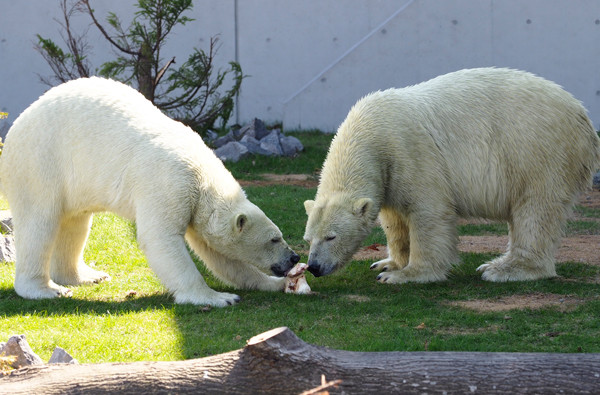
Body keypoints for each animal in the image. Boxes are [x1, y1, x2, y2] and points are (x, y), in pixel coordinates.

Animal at [0, 76, 300, 306]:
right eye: (274, 239)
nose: (293, 257)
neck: (201, 175)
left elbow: (221, 256)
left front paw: (273, 284)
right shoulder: (168, 183)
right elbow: (160, 238)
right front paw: (216, 297)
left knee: (76, 223)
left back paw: (86, 275)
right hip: (41, 164)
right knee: (40, 223)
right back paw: (47, 289)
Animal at [304, 69, 600, 284]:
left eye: (331, 237)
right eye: (308, 238)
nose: (313, 267)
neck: (369, 134)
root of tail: (582, 114)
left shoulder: (410, 153)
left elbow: (428, 212)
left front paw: (406, 274)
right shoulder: (388, 176)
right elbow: (395, 220)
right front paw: (387, 263)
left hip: (537, 151)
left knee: (535, 209)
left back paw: (504, 269)